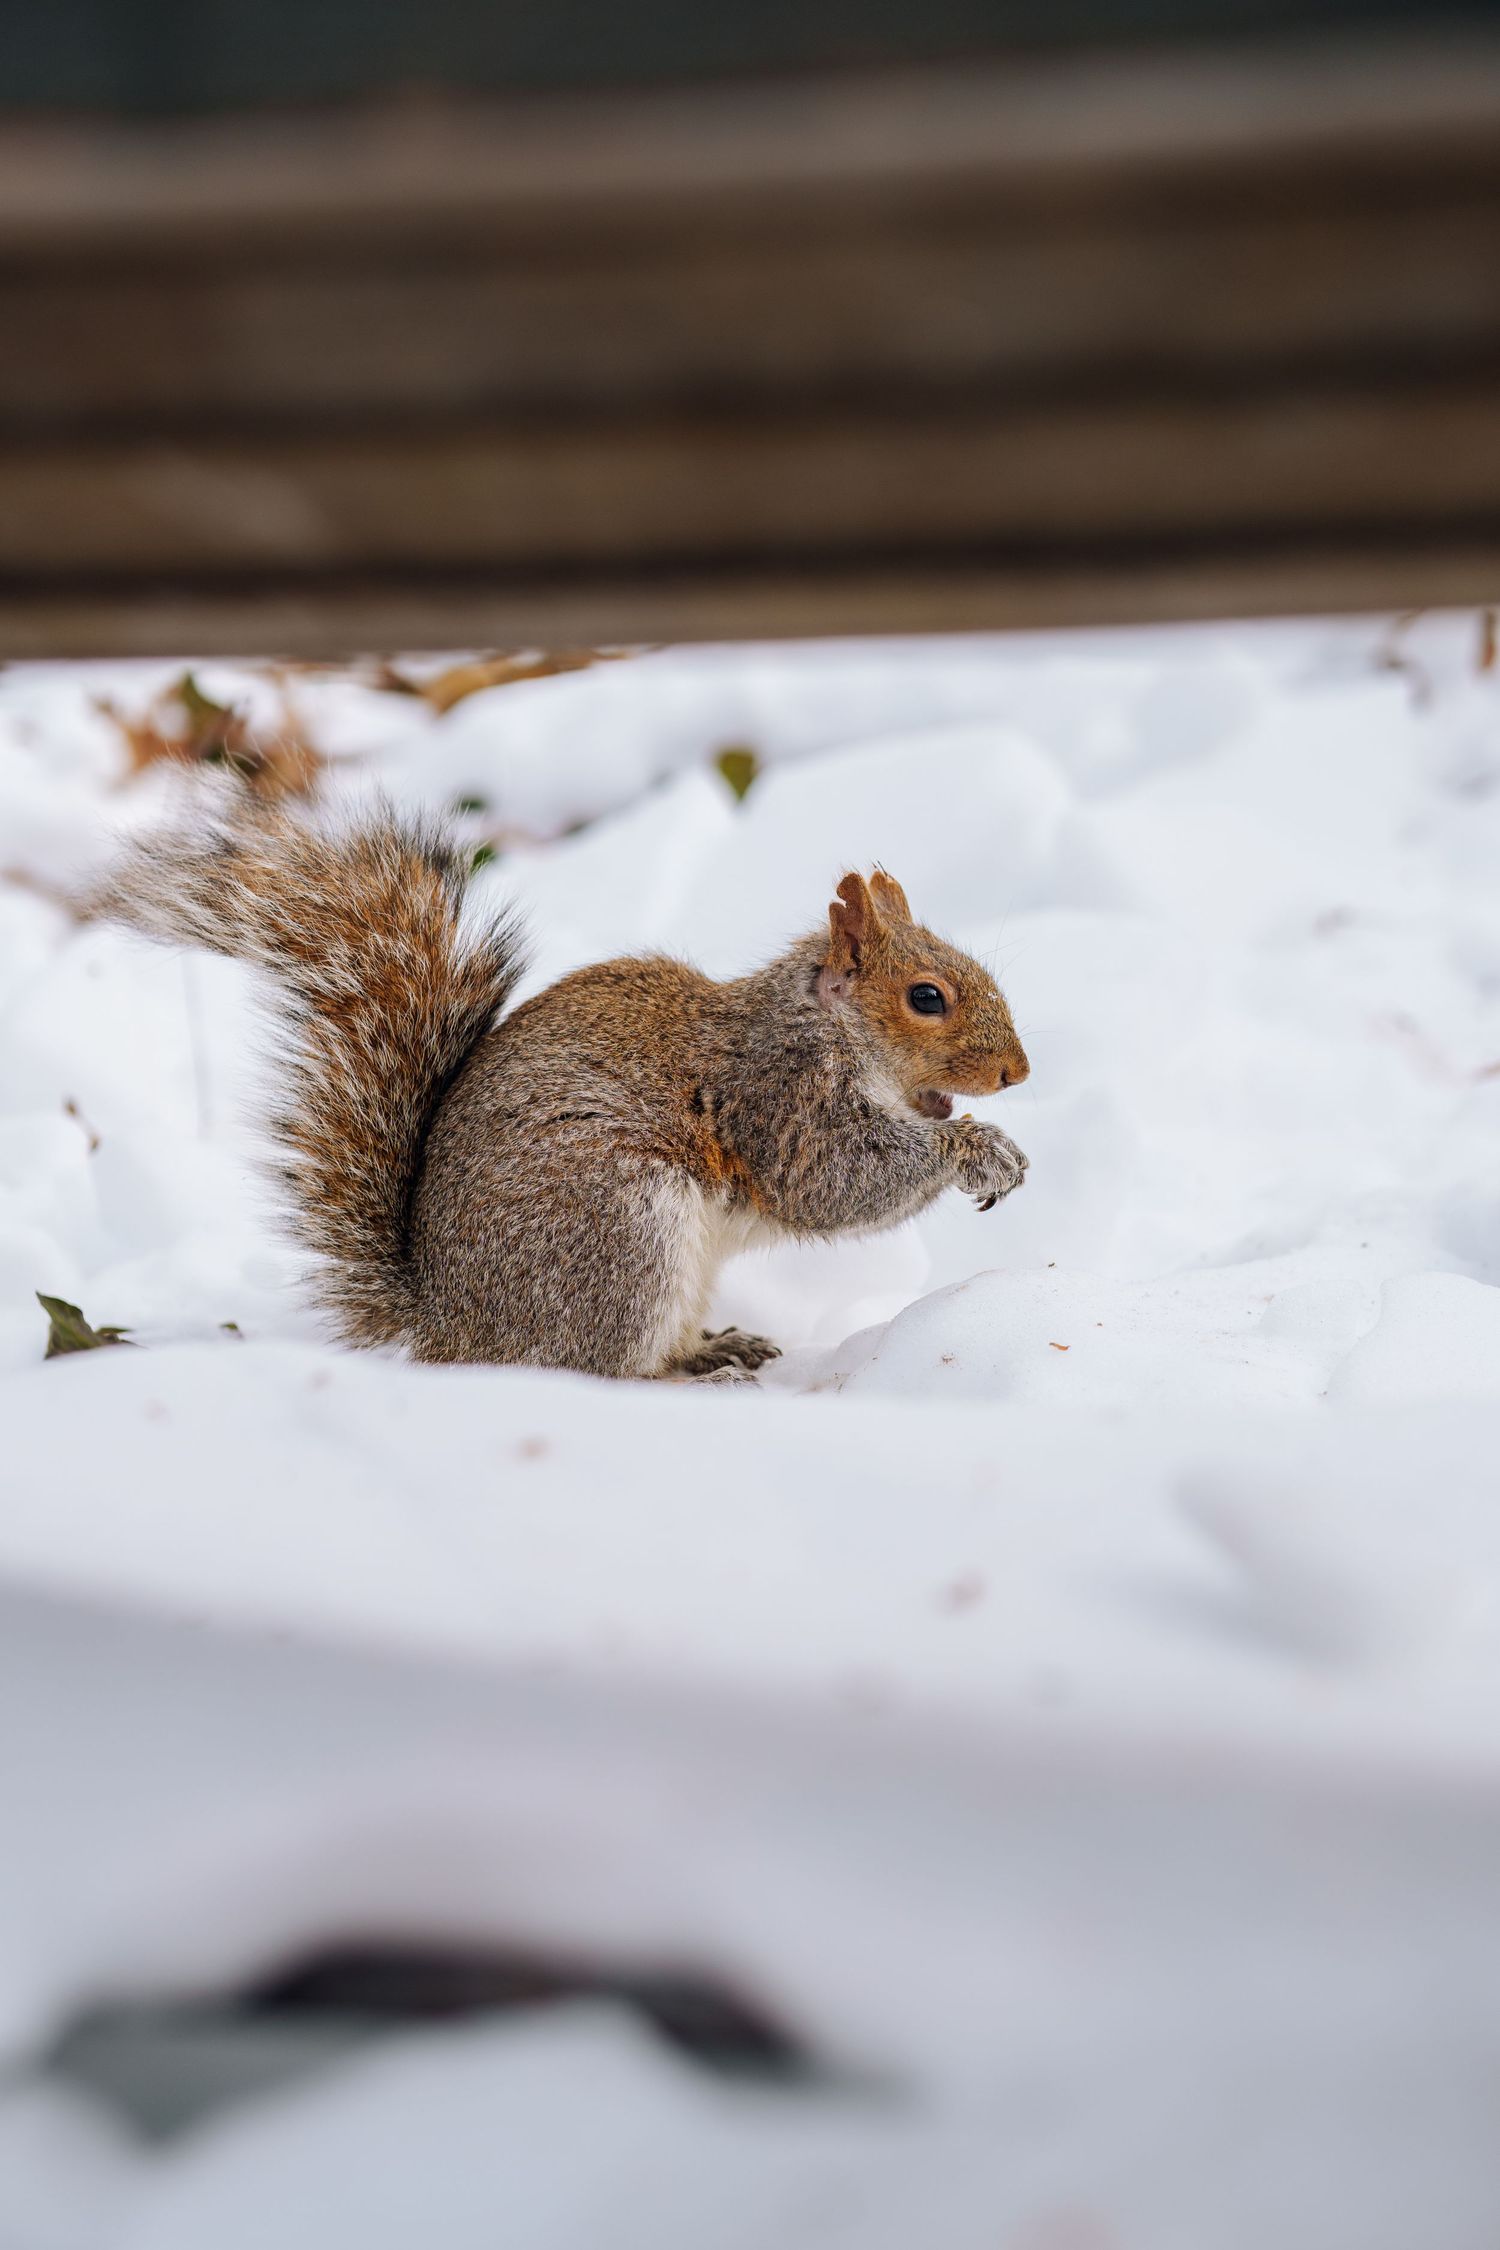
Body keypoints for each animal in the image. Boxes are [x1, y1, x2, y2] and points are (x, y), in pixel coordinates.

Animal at [96, 797, 1030, 1381]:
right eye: (926, 998)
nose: (1016, 1072)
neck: (823, 1029)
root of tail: (452, 1329)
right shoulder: (777, 1101)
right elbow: (836, 1183)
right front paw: (976, 1150)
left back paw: (711, 1352)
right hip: (621, 1231)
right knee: (595, 1370)